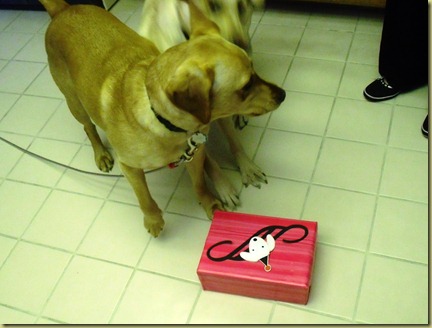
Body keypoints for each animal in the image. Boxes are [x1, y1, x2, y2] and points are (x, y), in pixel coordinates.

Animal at [39, 0, 284, 237]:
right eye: (246, 86)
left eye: (254, 69)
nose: (283, 94)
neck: (163, 121)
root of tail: (63, 10)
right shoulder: (129, 167)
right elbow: (144, 197)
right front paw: (153, 220)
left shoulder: (195, 154)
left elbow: (200, 183)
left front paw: (210, 203)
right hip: (75, 102)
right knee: (88, 127)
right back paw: (100, 153)